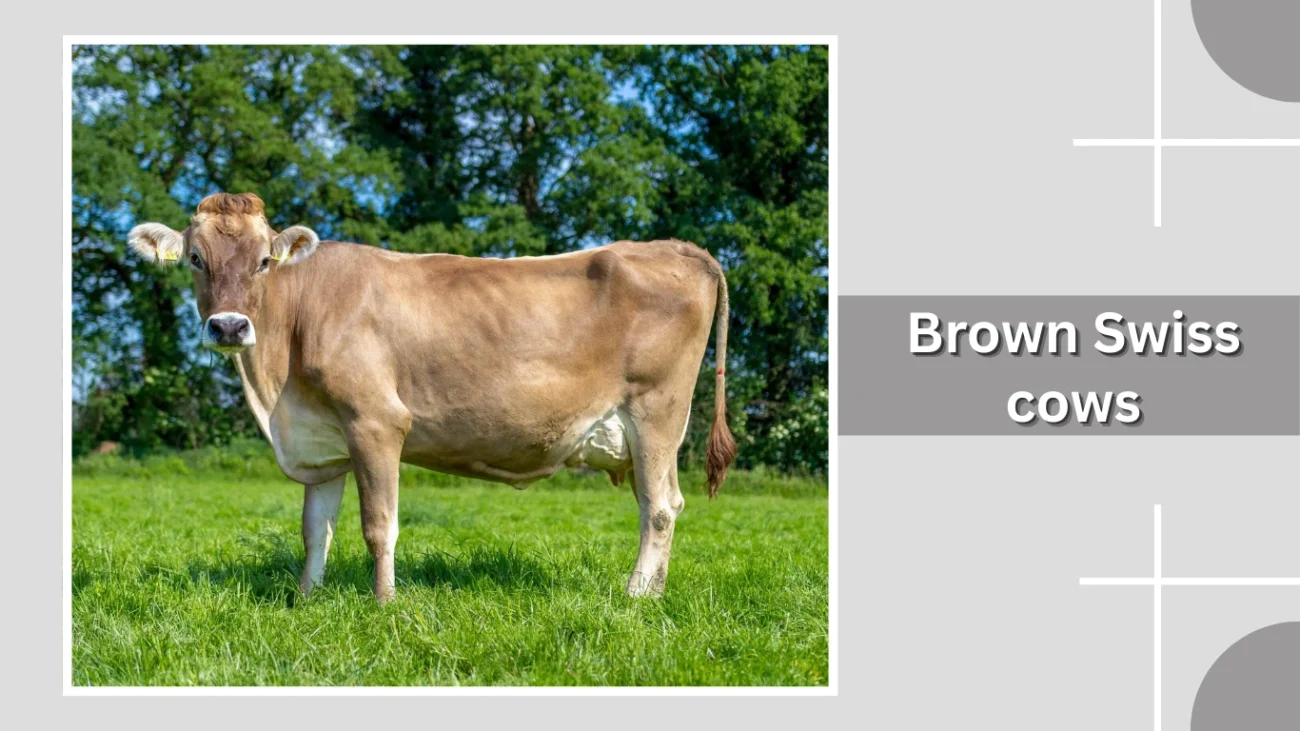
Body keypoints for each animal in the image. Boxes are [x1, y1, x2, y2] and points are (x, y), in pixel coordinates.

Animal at [127, 192, 737, 603]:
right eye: (196, 259)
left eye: (262, 261)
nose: (229, 327)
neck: (276, 393)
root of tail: (681, 248)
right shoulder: (321, 440)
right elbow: (314, 530)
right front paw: (305, 598)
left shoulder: (376, 423)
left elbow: (379, 525)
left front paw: (384, 604)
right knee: (662, 503)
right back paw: (654, 593)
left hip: (656, 411)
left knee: (659, 507)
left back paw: (634, 597)